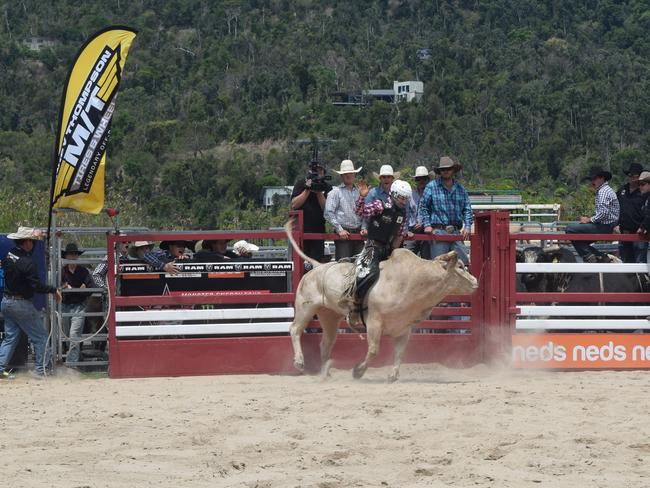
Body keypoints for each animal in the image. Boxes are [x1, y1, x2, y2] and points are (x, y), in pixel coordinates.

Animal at [286, 224, 478, 382]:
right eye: (460, 266)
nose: (475, 282)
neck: (412, 280)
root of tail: (317, 266)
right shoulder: (374, 322)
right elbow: (373, 350)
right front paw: (358, 371)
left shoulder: (404, 328)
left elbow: (400, 353)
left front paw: (392, 375)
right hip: (305, 307)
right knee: (295, 329)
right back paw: (299, 362)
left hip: (329, 316)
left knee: (326, 342)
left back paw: (326, 372)